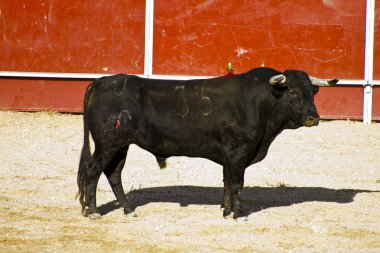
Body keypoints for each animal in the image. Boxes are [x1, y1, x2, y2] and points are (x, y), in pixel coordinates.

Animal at [77, 67, 338, 219]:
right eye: (292, 92)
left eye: (312, 92)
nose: (314, 118)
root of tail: (101, 81)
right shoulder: (238, 152)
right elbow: (237, 183)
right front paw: (239, 213)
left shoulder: (230, 156)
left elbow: (227, 182)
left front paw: (226, 210)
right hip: (107, 143)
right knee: (93, 171)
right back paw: (93, 211)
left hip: (121, 145)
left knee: (113, 174)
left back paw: (128, 209)